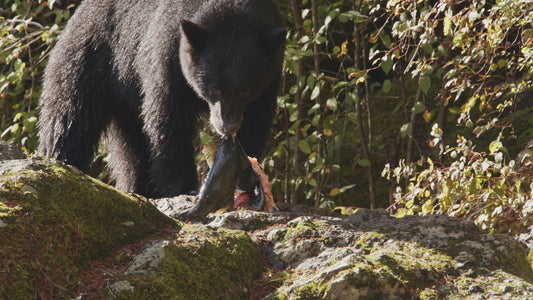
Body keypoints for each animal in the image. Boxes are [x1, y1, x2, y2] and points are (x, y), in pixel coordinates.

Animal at [36, 0, 286, 198]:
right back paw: (59, 160)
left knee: (131, 146)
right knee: (68, 117)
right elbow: (168, 117)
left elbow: (256, 120)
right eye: (214, 88)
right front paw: (184, 186)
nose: (227, 125)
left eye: (245, 90)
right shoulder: (168, 53)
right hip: (91, 57)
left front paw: (244, 171)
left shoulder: (271, 77)